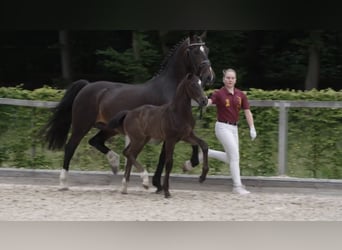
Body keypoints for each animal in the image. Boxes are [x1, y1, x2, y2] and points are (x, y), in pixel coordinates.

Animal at [42, 31, 214, 189]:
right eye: (195, 51)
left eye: (207, 50)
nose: (209, 76)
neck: (170, 89)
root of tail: (86, 86)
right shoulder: (168, 131)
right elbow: (165, 155)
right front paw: (163, 180)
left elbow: (187, 147)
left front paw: (172, 174)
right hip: (82, 125)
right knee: (70, 147)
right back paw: (63, 182)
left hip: (109, 128)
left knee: (95, 141)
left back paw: (114, 163)